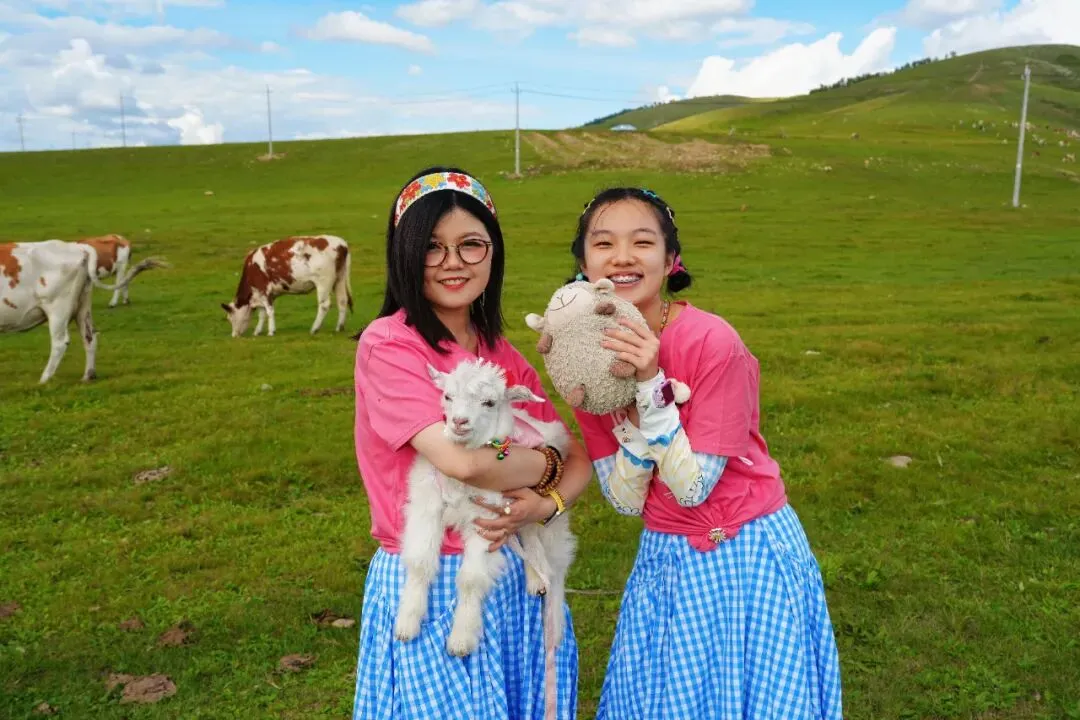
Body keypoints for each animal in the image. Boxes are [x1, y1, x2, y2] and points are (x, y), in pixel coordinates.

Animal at [0, 240, 166, 383]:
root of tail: (79, 247)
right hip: (82, 307)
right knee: (89, 337)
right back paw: (88, 376)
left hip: (58, 308)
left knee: (60, 343)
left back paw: (44, 379)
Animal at [221, 235, 352, 338]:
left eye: (229, 318)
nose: (234, 335)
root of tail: (341, 244)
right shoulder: (262, 294)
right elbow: (262, 313)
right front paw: (257, 331)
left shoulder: (264, 290)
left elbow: (269, 311)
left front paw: (271, 331)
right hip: (340, 280)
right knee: (342, 301)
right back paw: (339, 327)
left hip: (323, 282)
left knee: (324, 305)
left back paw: (314, 328)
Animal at [395, 359, 576, 668]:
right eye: (447, 396)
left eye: (489, 402)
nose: (459, 422)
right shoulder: (427, 503)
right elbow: (420, 562)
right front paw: (407, 623)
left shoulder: (488, 519)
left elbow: (471, 578)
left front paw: (461, 640)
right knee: (528, 533)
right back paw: (535, 578)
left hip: (550, 516)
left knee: (556, 559)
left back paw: (554, 622)